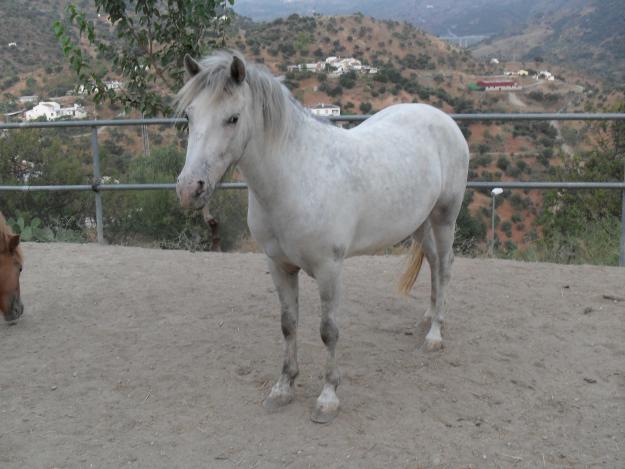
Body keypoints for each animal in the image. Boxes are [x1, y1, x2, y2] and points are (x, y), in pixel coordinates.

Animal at [176, 51, 468, 424]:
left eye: (232, 118)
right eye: (189, 115)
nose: (189, 189)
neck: (296, 177)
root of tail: (443, 119)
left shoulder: (329, 269)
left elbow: (328, 331)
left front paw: (328, 397)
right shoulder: (279, 265)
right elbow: (288, 324)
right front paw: (283, 388)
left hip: (444, 216)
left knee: (444, 266)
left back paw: (434, 335)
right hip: (418, 221)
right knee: (431, 261)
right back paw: (428, 317)